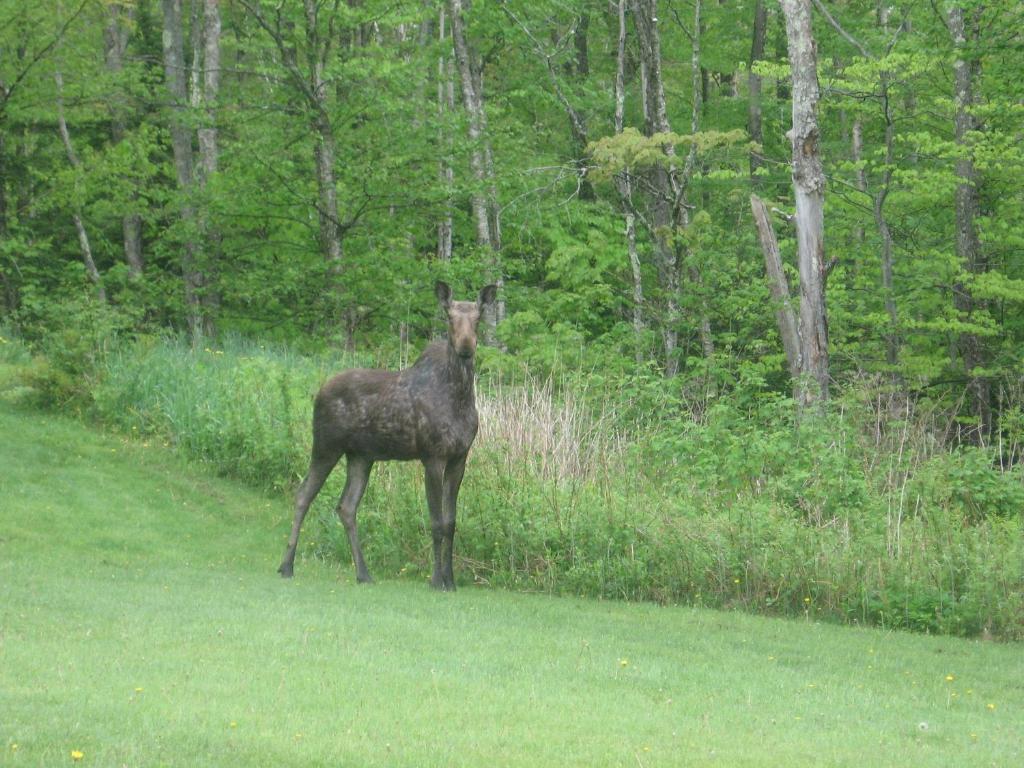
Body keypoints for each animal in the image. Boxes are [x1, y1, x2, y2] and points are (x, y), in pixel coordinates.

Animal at [276, 280, 499, 593]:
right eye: (449, 317)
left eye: (478, 318)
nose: (466, 347)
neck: (461, 398)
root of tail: (318, 392)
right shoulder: (432, 456)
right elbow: (436, 522)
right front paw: (436, 580)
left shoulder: (459, 458)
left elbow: (451, 522)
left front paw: (451, 581)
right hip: (325, 445)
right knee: (304, 494)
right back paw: (286, 566)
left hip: (360, 456)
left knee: (346, 506)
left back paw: (364, 573)